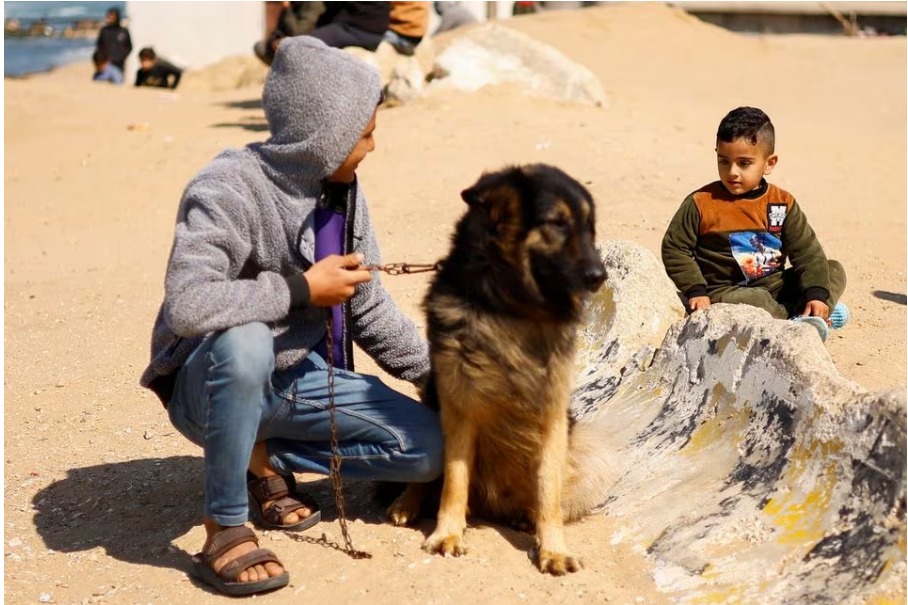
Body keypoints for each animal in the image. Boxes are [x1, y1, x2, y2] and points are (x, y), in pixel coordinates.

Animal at [386, 163, 612, 572]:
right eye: (557, 223)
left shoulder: (553, 414)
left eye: (590, 228)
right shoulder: (458, 406)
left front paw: (553, 550)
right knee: (425, 477)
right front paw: (447, 534)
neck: (515, 309)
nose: (599, 277)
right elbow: (454, 480)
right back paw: (407, 503)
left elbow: (548, 493)